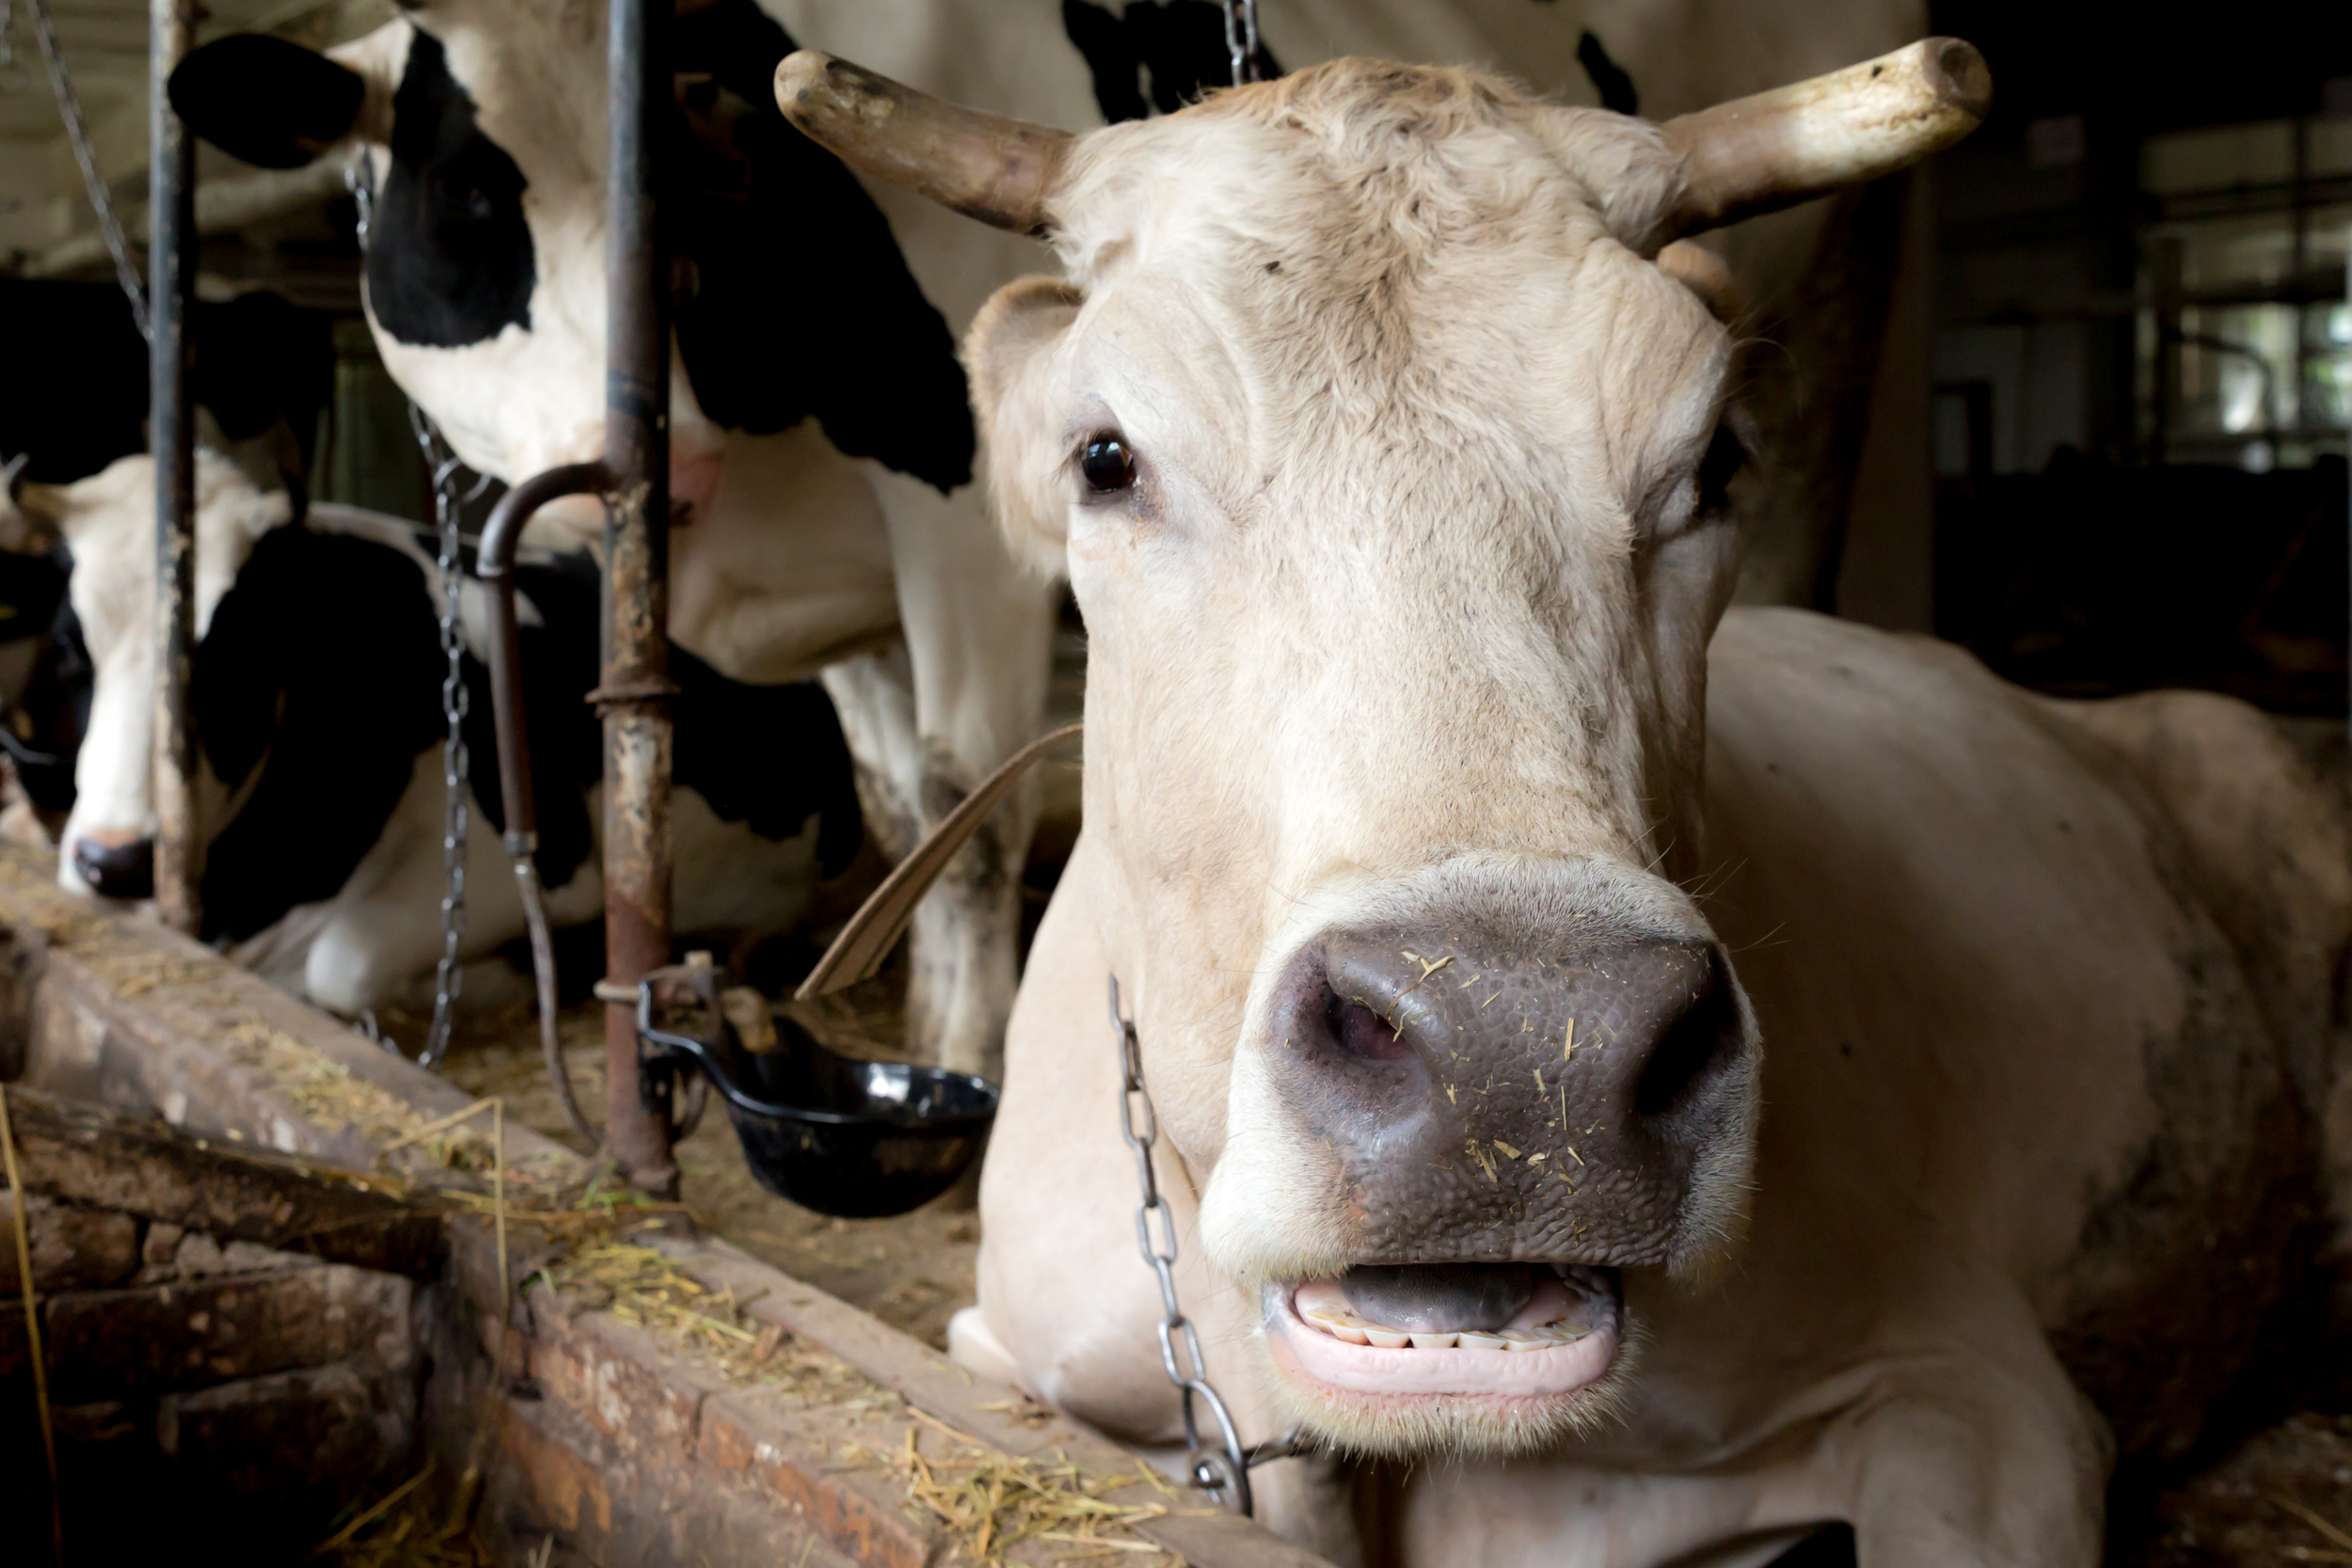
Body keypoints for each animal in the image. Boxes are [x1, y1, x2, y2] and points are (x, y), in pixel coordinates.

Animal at [161, 0, 1925, 1079]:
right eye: (465, 200)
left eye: (689, 179)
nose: (661, 477)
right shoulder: (853, 598)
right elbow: (898, 802)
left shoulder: (956, 511)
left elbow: (965, 791)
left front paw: (967, 1054)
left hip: (1832, 315)